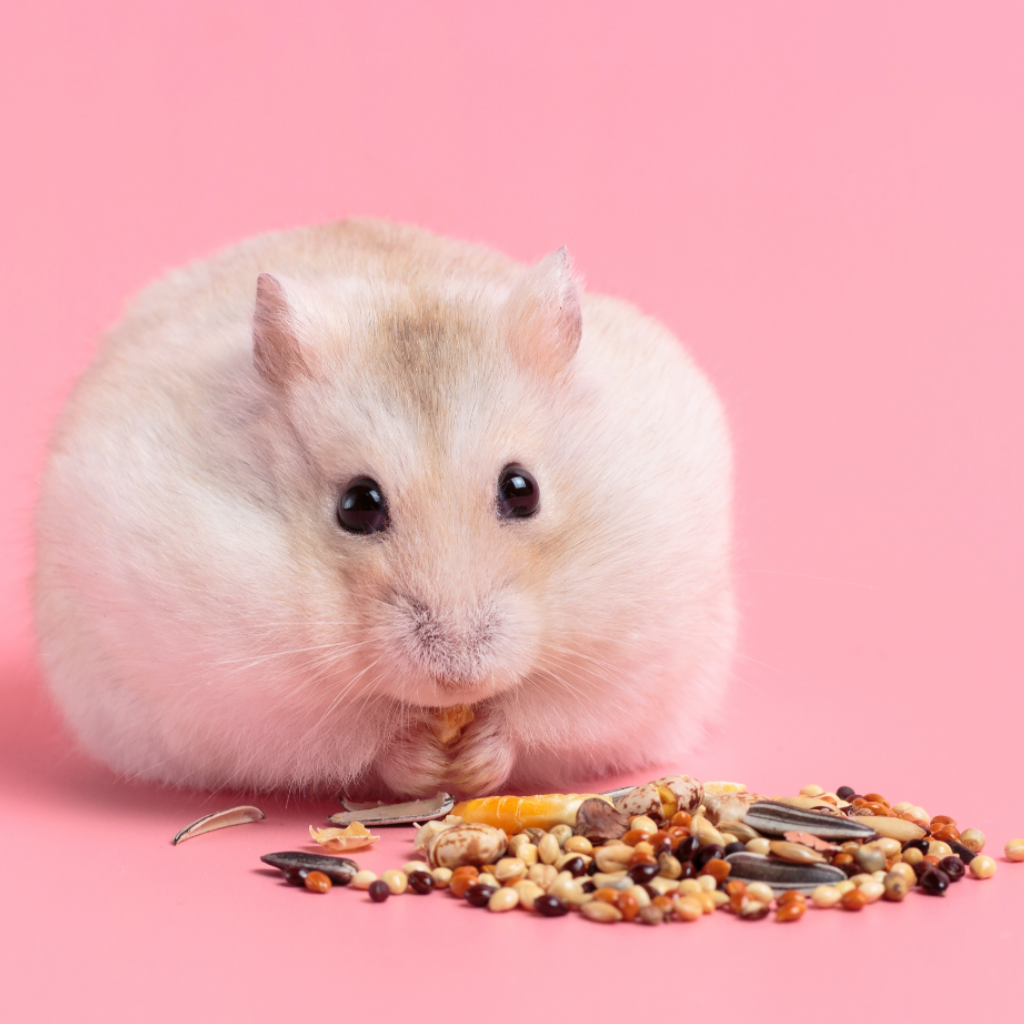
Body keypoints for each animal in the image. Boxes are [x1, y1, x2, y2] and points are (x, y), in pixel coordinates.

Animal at [34, 218, 737, 798]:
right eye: (358, 504)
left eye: (522, 489)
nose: (458, 678)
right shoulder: (240, 695)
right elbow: (362, 735)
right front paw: (424, 759)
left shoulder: (631, 659)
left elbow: (536, 719)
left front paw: (477, 757)